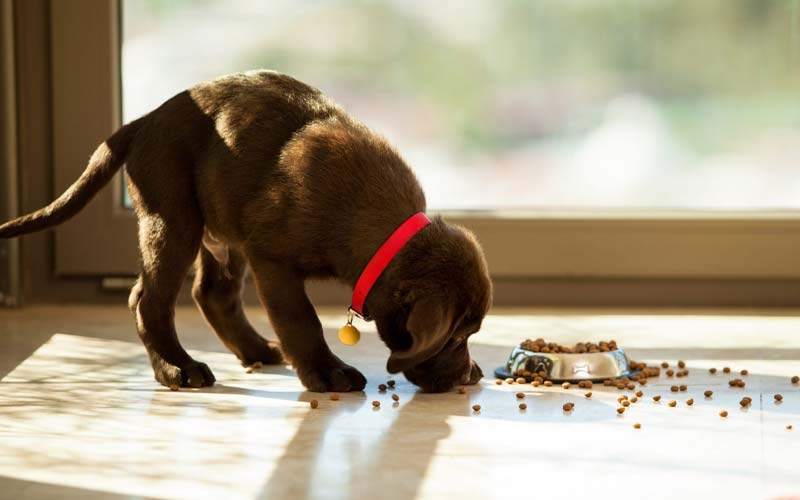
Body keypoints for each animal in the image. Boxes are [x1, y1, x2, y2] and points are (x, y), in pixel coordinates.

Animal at [0, 70, 490, 392]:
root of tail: (144, 121)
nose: (465, 377)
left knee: (211, 293)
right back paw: (177, 370)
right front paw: (327, 372)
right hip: (173, 218)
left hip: (221, 229)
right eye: (455, 337)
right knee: (147, 300)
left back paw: (254, 350)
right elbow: (302, 320)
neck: (379, 228)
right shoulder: (273, 259)